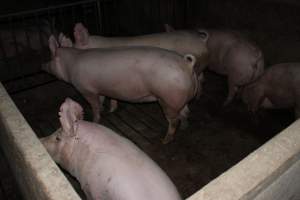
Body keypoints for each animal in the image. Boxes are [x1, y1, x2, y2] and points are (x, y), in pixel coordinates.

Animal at [42, 34, 199, 144]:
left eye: (50, 58)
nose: (43, 66)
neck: (70, 65)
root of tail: (187, 65)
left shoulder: (86, 89)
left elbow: (95, 105)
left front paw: (96, 119)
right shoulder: (102, 89)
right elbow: (107, 99)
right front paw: (109, 110)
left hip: (167, 98)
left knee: (174, 120)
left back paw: (165, 140)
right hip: (180, 98)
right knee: (186, 112)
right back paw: (185, 127)